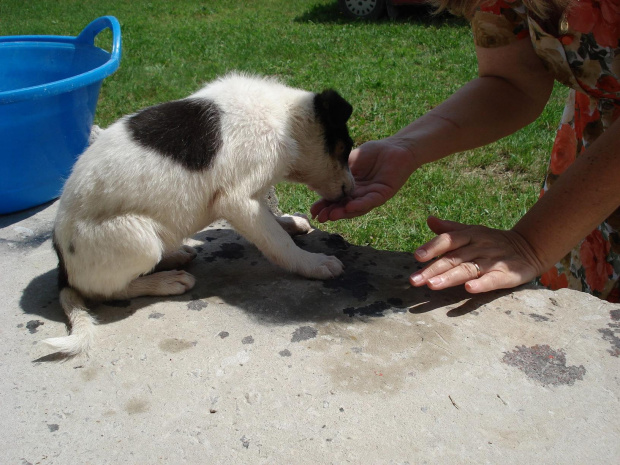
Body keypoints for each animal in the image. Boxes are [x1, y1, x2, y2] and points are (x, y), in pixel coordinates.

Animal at [44, 72, 354, 356]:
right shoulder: (237, 199)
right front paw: (313, 263)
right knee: (108, 290)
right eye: (346, 148)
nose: (352, 190)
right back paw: (166, 281)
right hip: (138, 239)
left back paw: (175, 255)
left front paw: (287, 221)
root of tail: (63, 268)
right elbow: (278, 242)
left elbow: (270, 218)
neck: (285, 117)